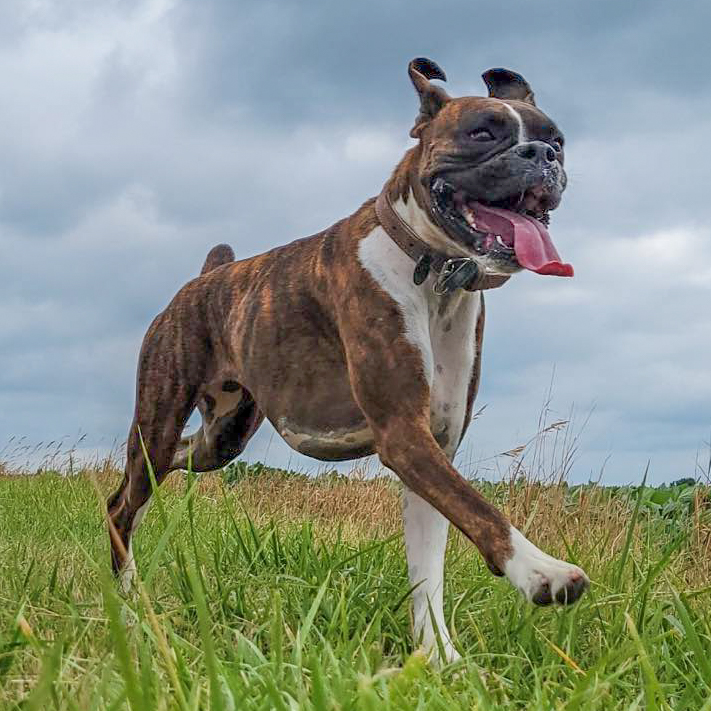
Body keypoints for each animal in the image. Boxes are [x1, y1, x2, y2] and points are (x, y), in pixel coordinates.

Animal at [107, 58, 588, 664]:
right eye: (482, 132)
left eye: (558, 141)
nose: (542, 155)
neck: (433, 269)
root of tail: (204, 278)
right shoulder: (403, 435)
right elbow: (481, 509)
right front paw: (542, 572)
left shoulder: (434, 446)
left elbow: (429, 566)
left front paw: (440, 658)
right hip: (161, 417)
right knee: (123, 503)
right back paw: (126, 601)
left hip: (221, 437)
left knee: (154, 476)